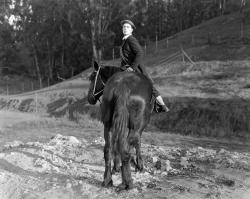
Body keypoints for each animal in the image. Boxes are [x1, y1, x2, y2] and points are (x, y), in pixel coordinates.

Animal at [88, 61, 154, 190]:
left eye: (93, 77)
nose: (90, 98)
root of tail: (123, 86)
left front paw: (116, 167)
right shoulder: (138, 127)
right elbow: (137, 143)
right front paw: (139, 165)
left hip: (108, 124)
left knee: (108, 149)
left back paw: (107, 180)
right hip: (136, 126)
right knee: (126, 149)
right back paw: (127, 182)